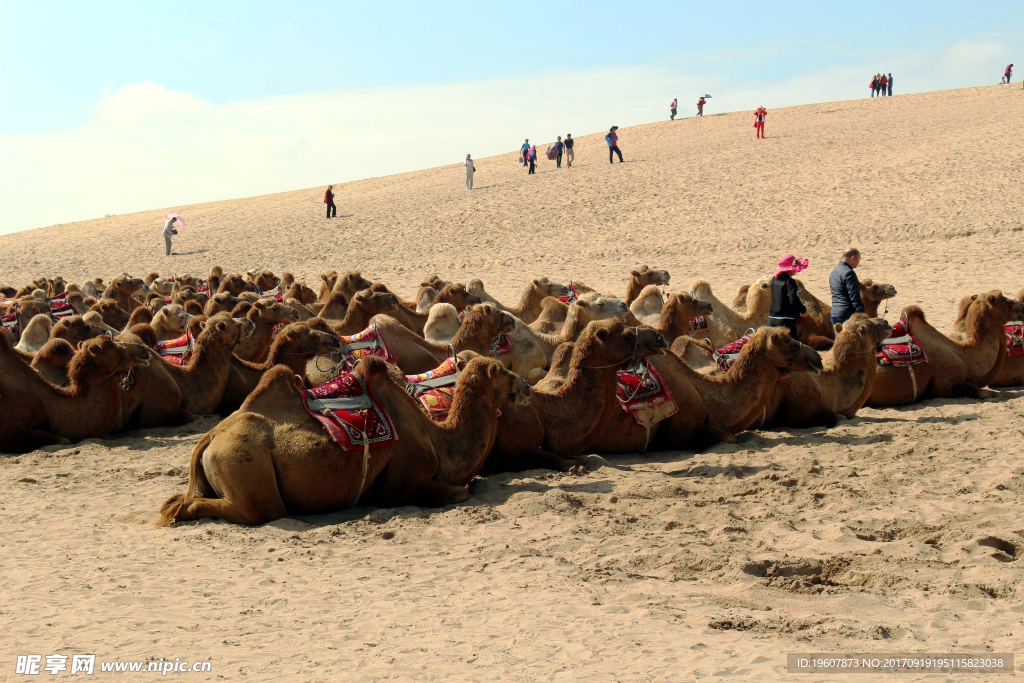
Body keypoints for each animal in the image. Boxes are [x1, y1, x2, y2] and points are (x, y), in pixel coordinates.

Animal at [159, 356, 532, 528]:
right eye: (502, 369)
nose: (527, 386)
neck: (438, 440)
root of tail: (210, 436)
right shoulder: (401, 483)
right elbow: (457, 492)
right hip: (243, 464)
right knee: (254, 509)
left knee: (183, 499)